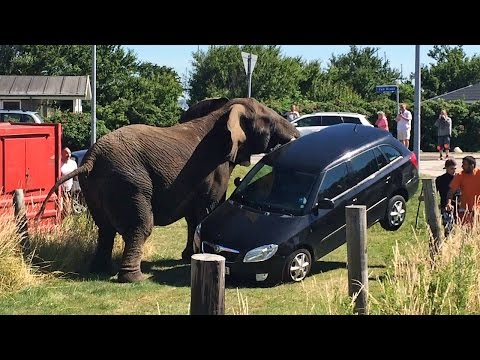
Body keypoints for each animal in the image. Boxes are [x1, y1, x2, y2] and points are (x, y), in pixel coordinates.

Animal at [36, 97, 300, 282]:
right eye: (270, 120)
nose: (297, 135)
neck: (222, 113)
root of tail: (90, 159)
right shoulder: (215, 168)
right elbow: (207, 209)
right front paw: (191, 259)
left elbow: (194, 218)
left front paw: (188, 257)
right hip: (128, 183)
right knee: (140, 226)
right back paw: (134, 279)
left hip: (95, 187)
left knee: (105, 229)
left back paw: (99, 271)